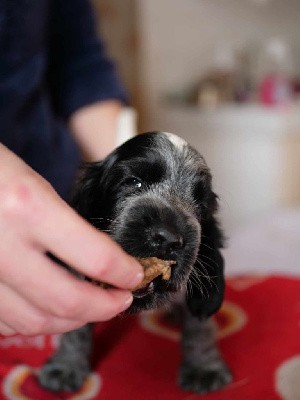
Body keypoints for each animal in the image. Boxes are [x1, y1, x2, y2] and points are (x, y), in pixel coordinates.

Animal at [38, 132, 232, 394]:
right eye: (133, 181)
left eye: (200, 204)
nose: (168, 239)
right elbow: (76, 327)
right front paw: (65, 365)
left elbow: (199, 325)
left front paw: (204, 366)